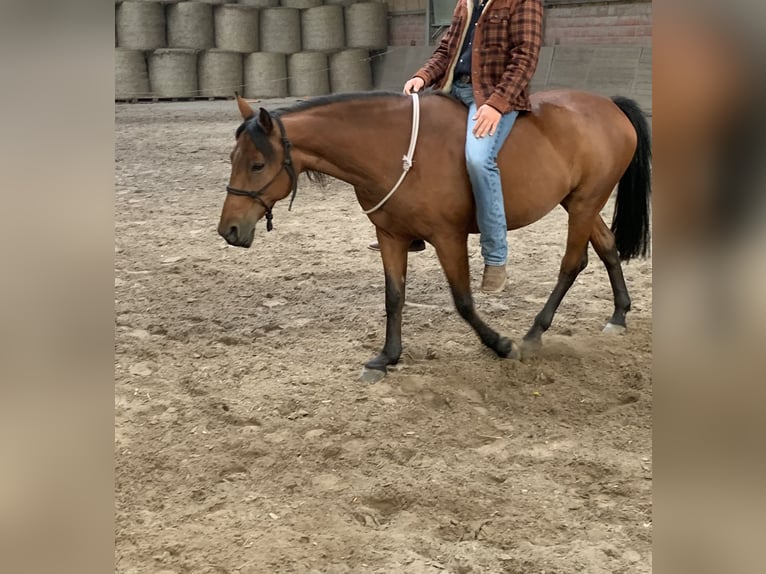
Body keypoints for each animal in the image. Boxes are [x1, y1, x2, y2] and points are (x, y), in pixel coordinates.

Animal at [217, 90, 651, 381]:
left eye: (257, 164)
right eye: (233, 159)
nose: (229, 230)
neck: (393, 151)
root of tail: (609, 105)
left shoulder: (448, 237)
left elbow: (463, 302)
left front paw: (500, 344)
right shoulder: (390, 235)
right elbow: (394, 298)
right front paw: (387, 357)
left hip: (585, 203)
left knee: (572, 263)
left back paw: (533, 334)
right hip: (578, 202)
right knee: (607, 247)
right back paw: (618, 315)